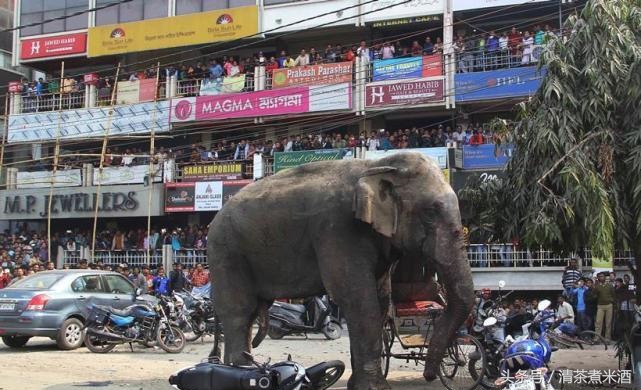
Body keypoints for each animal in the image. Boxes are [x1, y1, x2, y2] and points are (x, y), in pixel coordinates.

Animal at [208, 151, 472, 388]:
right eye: (430, 211)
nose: (429, 375)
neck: (377, 165)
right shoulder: (337, 229)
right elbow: (358, 299)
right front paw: (374, 387)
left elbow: (380, 301)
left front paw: (360, 384)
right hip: (226, 251)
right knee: (239, 312)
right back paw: (240, 370)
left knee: (249, 313)